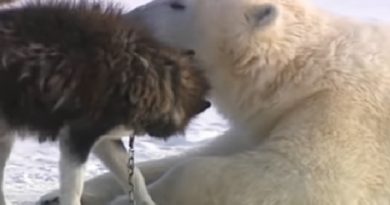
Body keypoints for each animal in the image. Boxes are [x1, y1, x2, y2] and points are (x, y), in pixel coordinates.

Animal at [39, 0, 390, 204]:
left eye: (178, 3)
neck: (302, 70)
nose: (129, 15)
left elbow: (300, 175)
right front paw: (56, 194)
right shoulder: (269, 118)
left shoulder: (342, 114)